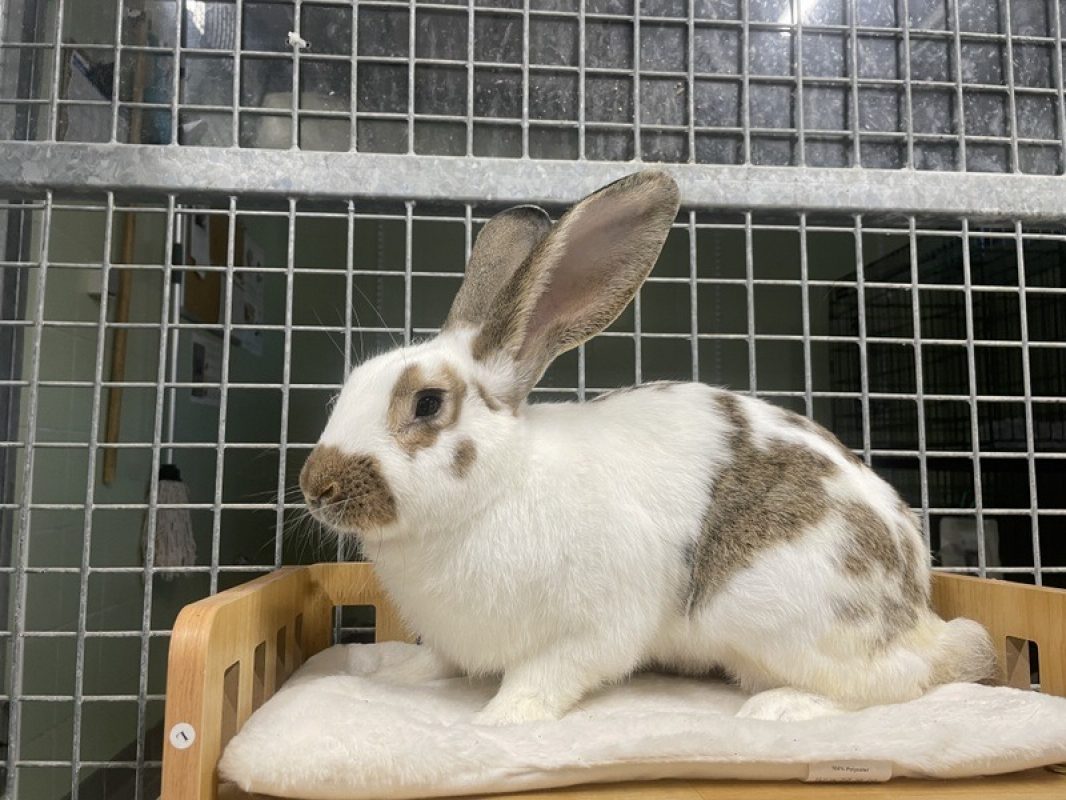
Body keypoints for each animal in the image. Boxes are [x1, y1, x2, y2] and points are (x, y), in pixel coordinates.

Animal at [299, 170, 997, 725]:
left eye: (426, 404)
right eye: (352, 383)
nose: (316, 485)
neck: (494, 490)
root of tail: (918, 609)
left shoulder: (593, 627)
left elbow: (545, 677)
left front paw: (500, 720)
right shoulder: (451, 637)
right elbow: (436, 659)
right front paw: (394, 675)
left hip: (777, 615)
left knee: (897, 683)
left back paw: (781, 708)